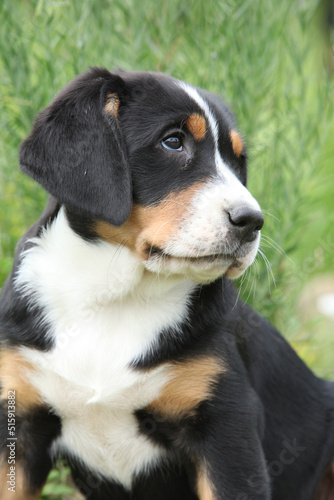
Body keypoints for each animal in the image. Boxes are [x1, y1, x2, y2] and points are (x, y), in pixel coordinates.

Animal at [0, 67, 334, 500]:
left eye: (237, 161)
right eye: (173, 141)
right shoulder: (20, 426)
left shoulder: (227, 428)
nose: (251, 221)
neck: (116, 297)